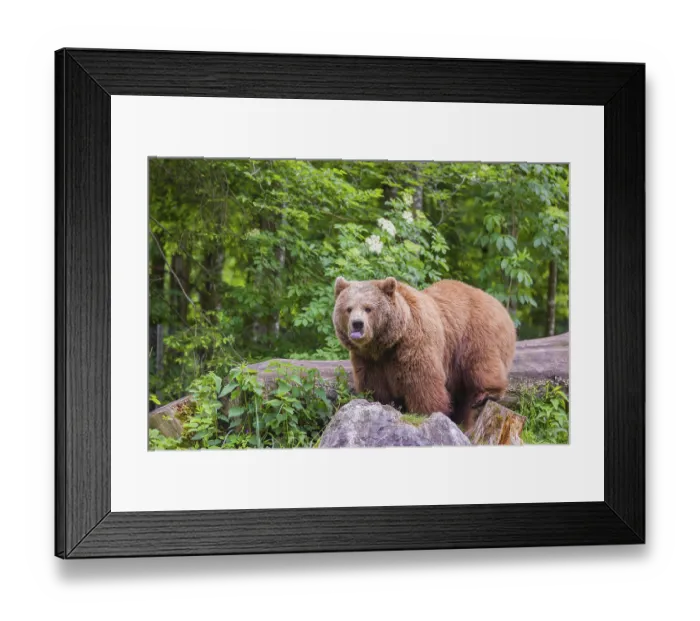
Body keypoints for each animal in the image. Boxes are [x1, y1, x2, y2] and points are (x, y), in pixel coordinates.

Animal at [332, 276, 517, 433]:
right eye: (348, 309)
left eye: (368, 308)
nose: (357, 324)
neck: (386, 345)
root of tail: (500, 306)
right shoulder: (368, 360)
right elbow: (375, 387)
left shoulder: (414, 345)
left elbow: (422, 383)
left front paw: (428, 413)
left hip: (475, 335)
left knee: (482, 364)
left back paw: (486, 395)